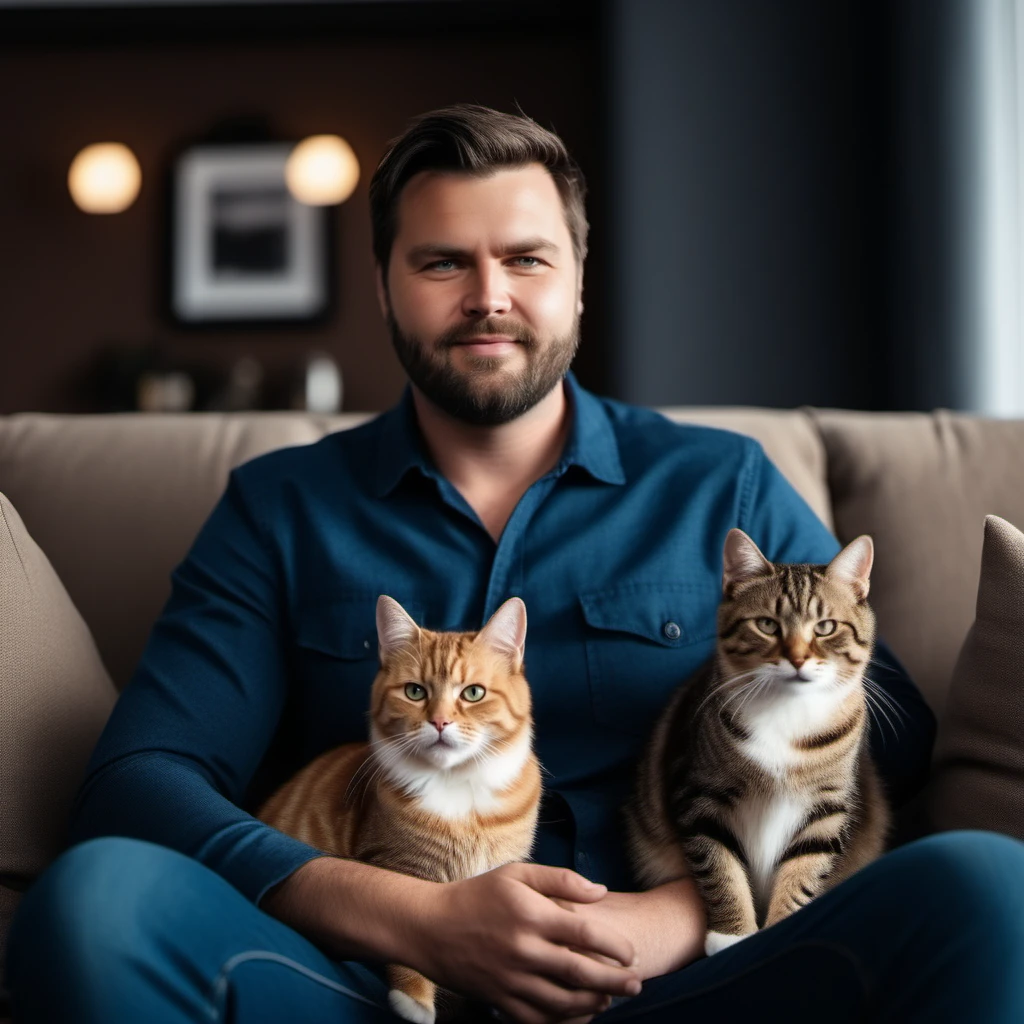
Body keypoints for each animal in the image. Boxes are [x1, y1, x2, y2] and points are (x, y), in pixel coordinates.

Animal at [258, 593, 544, 1024]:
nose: (440, 722)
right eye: (414, 692)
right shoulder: (402, 870)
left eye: (472, 693)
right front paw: (415, 1000)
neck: (459, 789)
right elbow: (412, 937)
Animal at [622, 532, 888, 954]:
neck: (787, 712)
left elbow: (803, 872)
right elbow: (720, 870)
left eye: (826, 627)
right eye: (767, 624)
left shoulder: (825, 808)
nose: (798, 659)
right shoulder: (699, 795)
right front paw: (731, 936)